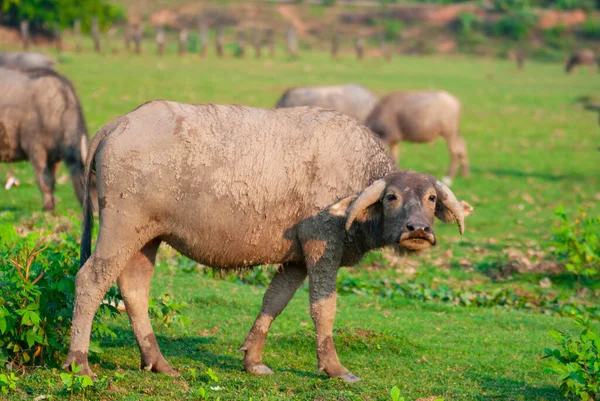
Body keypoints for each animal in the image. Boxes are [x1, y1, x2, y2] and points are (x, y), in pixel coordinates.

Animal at [0, 66, 89, 209]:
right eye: (87, 182)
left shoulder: (55, 157)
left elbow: (52, 180)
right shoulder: (36, 151)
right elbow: (44, 180)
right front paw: (48, 207)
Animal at [63, 100, 472, 382]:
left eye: (430, 198)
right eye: (392, 197)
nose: (418, 230)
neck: (354, 180)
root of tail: (119, 124)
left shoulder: (296, 259)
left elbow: (274, 302)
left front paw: (253, 360)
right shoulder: (322, 246)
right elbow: (323, 309)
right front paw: (334, 368)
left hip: (147, 237)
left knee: (134, 289)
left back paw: (159, 363)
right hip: (121, 227)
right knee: (91, 280)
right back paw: (79, 363)